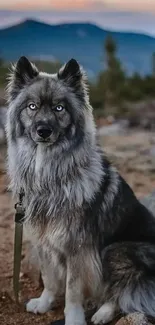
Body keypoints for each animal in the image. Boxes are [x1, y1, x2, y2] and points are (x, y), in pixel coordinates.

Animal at [6, 55, 155, 324]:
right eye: (32, 106)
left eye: (59, 108)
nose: (43, 131)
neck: (48, 173)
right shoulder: (43, 241)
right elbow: (50, 279)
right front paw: (44, 303)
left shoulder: (78, 249)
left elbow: (73, 291)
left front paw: (74, 319)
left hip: (115, 250)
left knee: (119, 291)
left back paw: (103, 313)